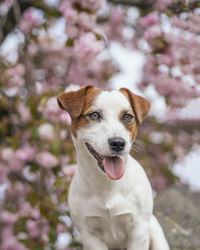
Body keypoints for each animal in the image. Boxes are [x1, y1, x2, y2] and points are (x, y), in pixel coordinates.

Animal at [57, 86, 170, 250]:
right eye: (94, 115)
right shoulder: (89, 234)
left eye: (128, 117)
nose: (118, 143)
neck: (107, 184)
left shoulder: (139, 229)